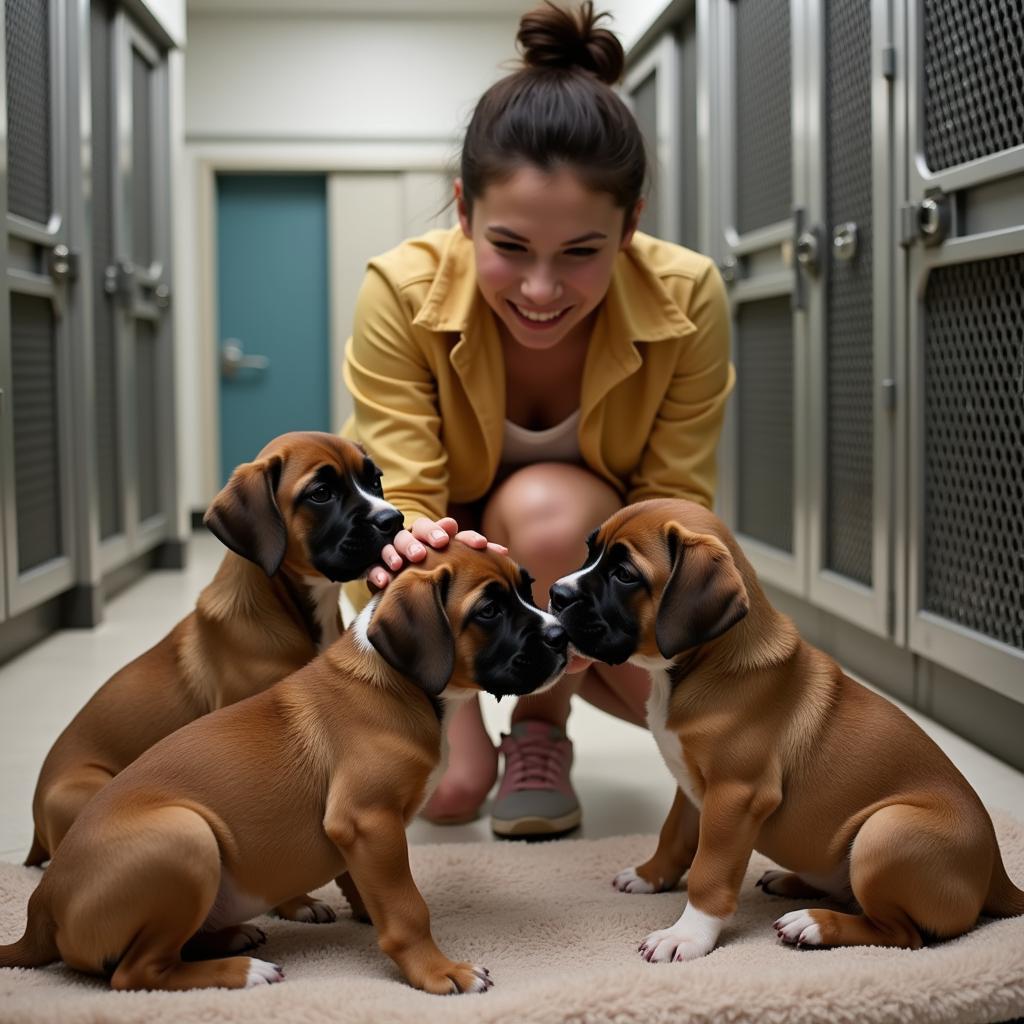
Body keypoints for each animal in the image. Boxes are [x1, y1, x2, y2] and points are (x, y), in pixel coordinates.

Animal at [0, 548, 569, 995]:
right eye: (489, 610)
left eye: (526, 586)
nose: (562, 634)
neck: (401, 682)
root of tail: (41, 906)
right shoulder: (367, 820)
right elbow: (408, 908)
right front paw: (439, 971)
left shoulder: (357, 831)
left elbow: (370, 885)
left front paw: (367, 913)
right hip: (186, 835)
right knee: (136, 971)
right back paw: (242, 969)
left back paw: (229, 936)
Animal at [552, 499, 1024, 962]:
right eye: (590, 551)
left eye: (624, 574)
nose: (556, 594)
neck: (702, 664)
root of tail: (997, 877)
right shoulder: (693, 788)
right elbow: (674, 835)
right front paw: (649, 875)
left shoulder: (735, 796)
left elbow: (709, 869)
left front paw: (687, 935)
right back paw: (790, 882)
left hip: (885, 830)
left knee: (903, 934)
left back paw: (813, 924)